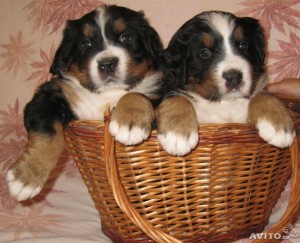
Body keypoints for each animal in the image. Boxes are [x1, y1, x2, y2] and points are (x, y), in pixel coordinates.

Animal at [6, 4, 162, 201]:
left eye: (126, 37)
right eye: (86, 43)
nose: (107, 64)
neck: (107, 94)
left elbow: (135, 94)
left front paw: (129, 124)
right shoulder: (52, 94)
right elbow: (47, 133)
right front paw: (25, 178)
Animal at [157, 10, 296, 156]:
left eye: (243, 45)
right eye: (204, 52)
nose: (234, 77)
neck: (223, 103)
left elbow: (263, 95)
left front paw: (279, 125)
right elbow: (177, 97)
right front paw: (177, 134)